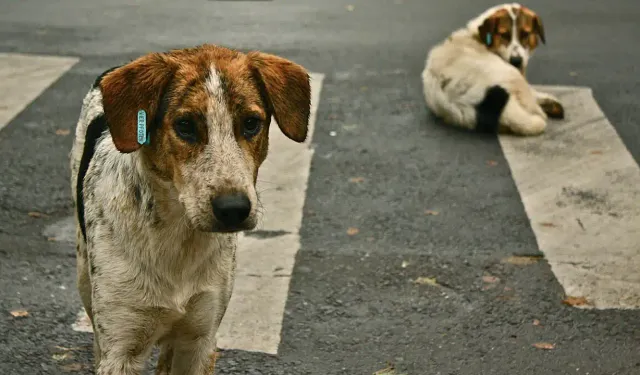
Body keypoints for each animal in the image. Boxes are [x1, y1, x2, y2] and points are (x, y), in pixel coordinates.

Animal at [69, 45, 312, 374]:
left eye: (251, 123)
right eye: (185, 126)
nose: (233, 209)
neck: (177, 237)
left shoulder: (200, 339)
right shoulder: (121, 349)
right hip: (85, 276)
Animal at [420, 2, 564, 136]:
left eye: (525, 34)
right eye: (504, 35)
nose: (516, 61)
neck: (478, 36)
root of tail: (456, 98)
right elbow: (531, 92)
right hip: (509, 74)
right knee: (531, 106)